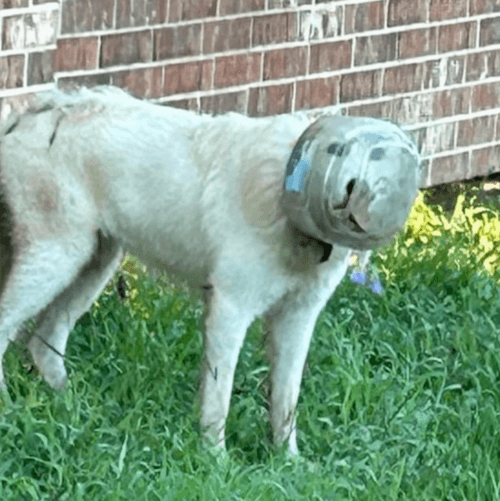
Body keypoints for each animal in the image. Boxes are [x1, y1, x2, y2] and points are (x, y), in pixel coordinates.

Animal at [0, 86, 422, 454]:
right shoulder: (230, 309)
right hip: (57, 257)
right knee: (8, 324)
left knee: (44, 342)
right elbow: (220, 396)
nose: (361, 198)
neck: (285, 195)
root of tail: (40, 112)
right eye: (340, 153)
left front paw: (288, 460)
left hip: (95, 263)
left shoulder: (298, 318)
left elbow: (286, 398)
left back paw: (71, 408)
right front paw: (215, 458)